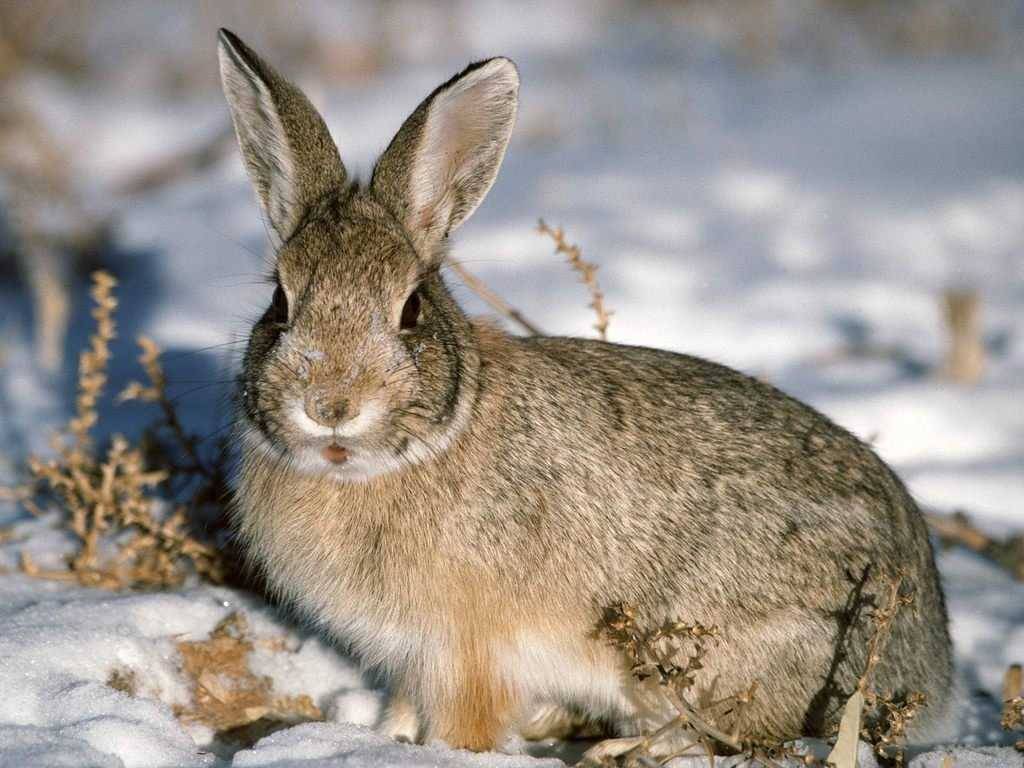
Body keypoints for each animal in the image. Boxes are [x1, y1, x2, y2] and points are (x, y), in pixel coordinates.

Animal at [217, 28, 953, 761]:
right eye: (280, 303)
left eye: (411, 309)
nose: (330, 406)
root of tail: (931, 664)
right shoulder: (410, 657)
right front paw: (384, 737)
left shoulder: (466, 652)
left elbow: (465, 724)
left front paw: (443, 750)